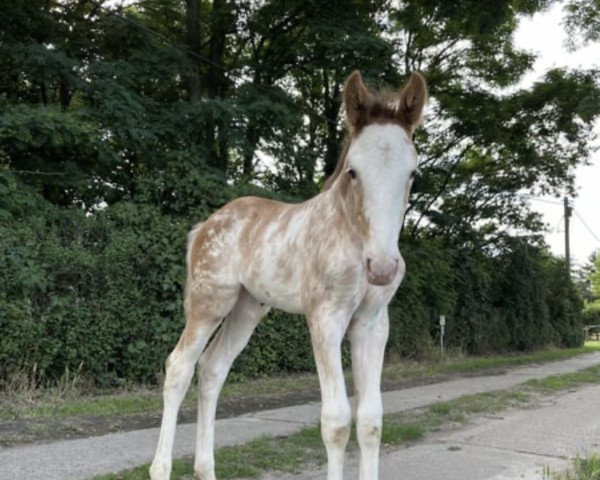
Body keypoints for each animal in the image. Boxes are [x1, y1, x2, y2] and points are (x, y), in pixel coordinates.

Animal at [152, 69, 428, 478]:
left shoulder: (373, 322)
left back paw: (206, 469)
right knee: (179, 367)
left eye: (413, 172)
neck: (351, 234)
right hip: (210, 301)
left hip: (247, 308)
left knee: (213, 369)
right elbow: (336, 421)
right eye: (353, 171)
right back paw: (160, 468)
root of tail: (203, 226)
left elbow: (371, 420)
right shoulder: (325, 317)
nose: (382, 267)